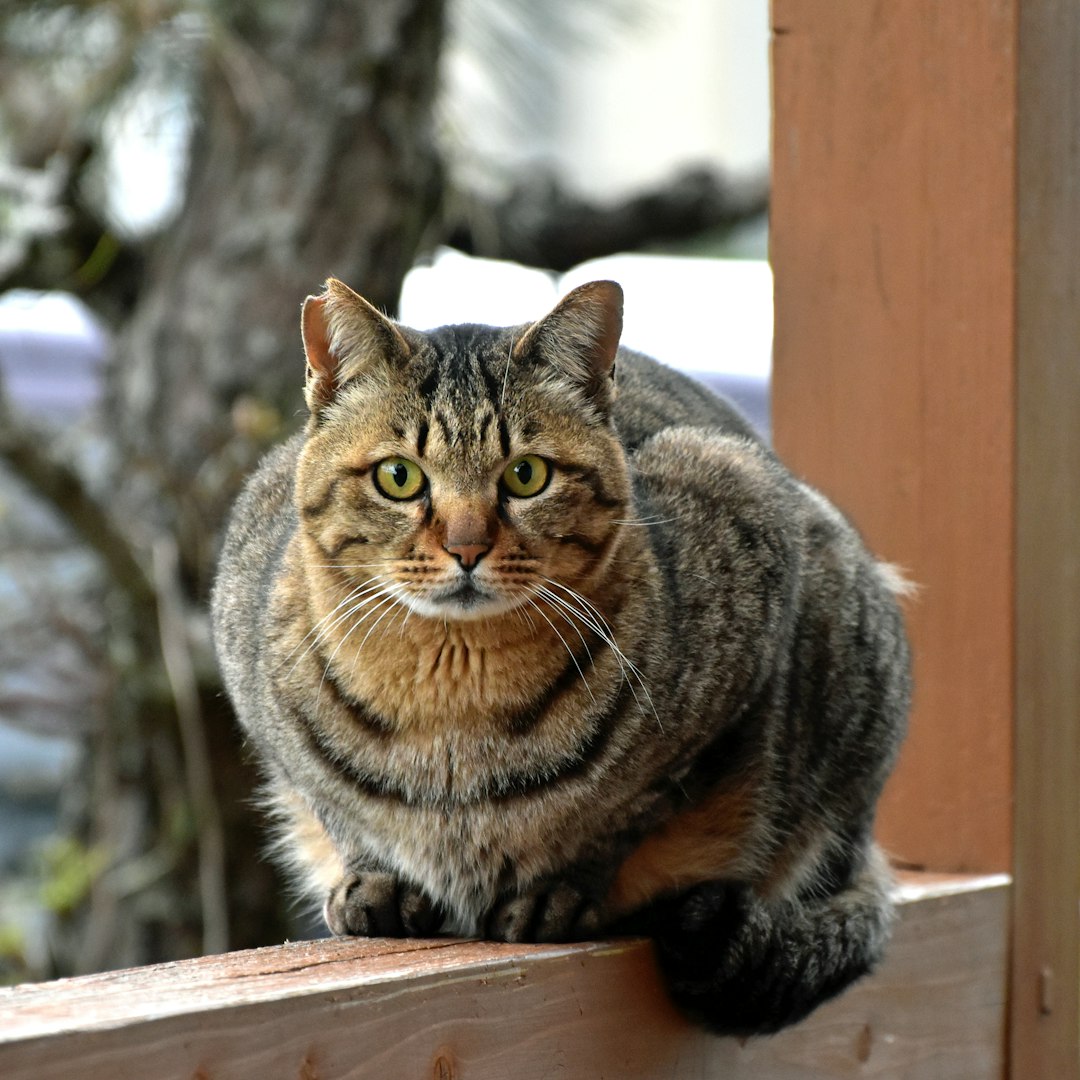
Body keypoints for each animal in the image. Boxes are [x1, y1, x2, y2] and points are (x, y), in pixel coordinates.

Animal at [210, 278, 911, 1036]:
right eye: (399, 477)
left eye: (526, 475)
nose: (465, 547)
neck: (453, 702)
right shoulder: (263, 700)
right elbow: (334, 805)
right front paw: (376, 879)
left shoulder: (746, 549)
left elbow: (626, 818)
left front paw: (557, 891)